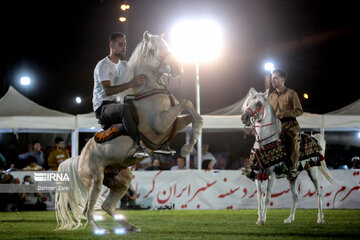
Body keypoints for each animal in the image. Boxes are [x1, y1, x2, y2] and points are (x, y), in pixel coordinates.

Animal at [56, 30, 202, 234]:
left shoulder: (173, 122)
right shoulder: (160, 125)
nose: (177, 67)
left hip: (122, 179)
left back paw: (131, 226)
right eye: (153, 50)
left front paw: (188, 147)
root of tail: (79, 158)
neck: (148, 93)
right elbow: (186, 102)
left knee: (107, 206)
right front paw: (186, 148)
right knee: (88, 209)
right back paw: (100, 229)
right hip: (95, 181)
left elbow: (193, 114)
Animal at [240, 87, 336, 225]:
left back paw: (320, 218)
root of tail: (314, 138)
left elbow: (267, 198)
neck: (265, 142)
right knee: (295, 196)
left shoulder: (272, 175)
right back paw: (290, 219)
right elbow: (259, 198)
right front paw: (259, 218)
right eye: (247, 103)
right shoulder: (258, 175)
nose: (244, 118)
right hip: (293, 177)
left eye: (258, 104)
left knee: (319, 193)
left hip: (312, 170)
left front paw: (263, 220)